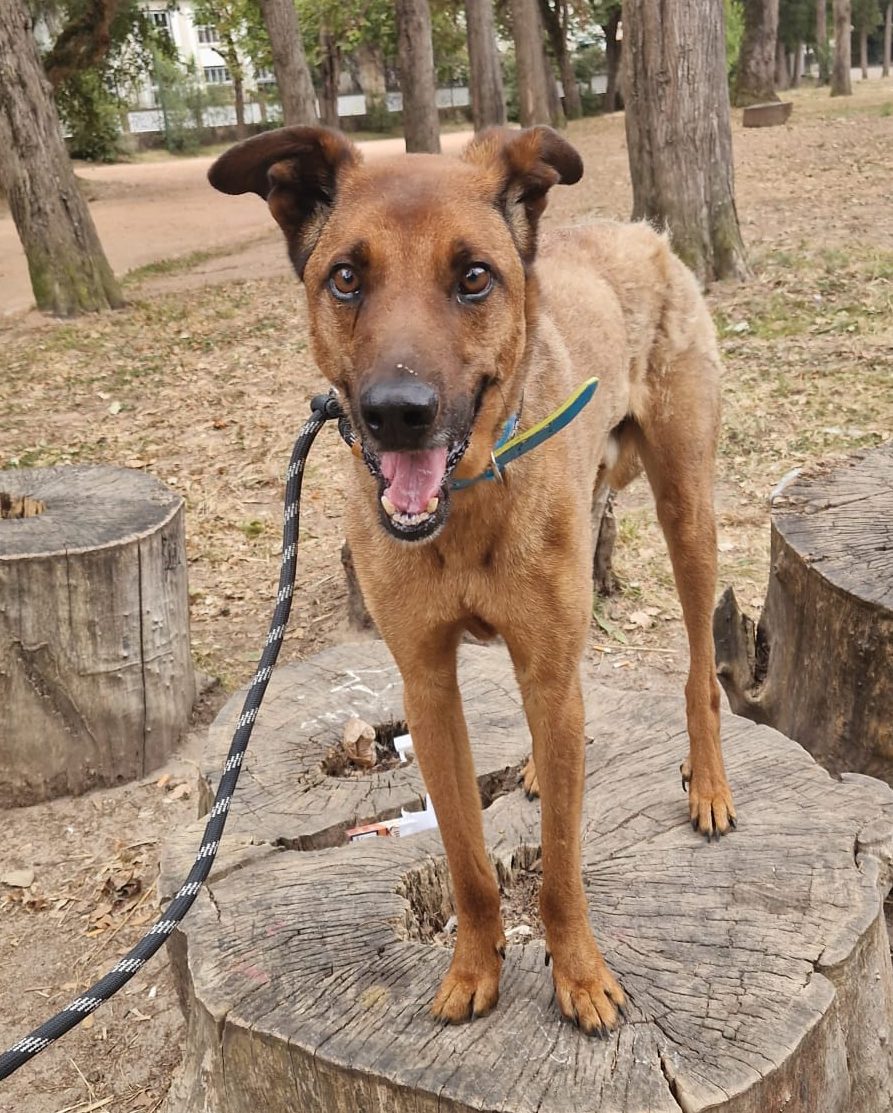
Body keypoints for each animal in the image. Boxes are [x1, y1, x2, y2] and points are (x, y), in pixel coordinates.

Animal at [208, 125, 736, 1035]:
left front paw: (580, 975)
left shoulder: (544, 666)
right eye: (344, 276)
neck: (464, 505)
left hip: (685, 512)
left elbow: (559, 864)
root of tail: (640, 231)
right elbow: (463, 856)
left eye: (474, 277)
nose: (397, 412)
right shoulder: (427, 686)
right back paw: (538, 768)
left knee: (698, 668)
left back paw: (706, 783)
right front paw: (473, 965)